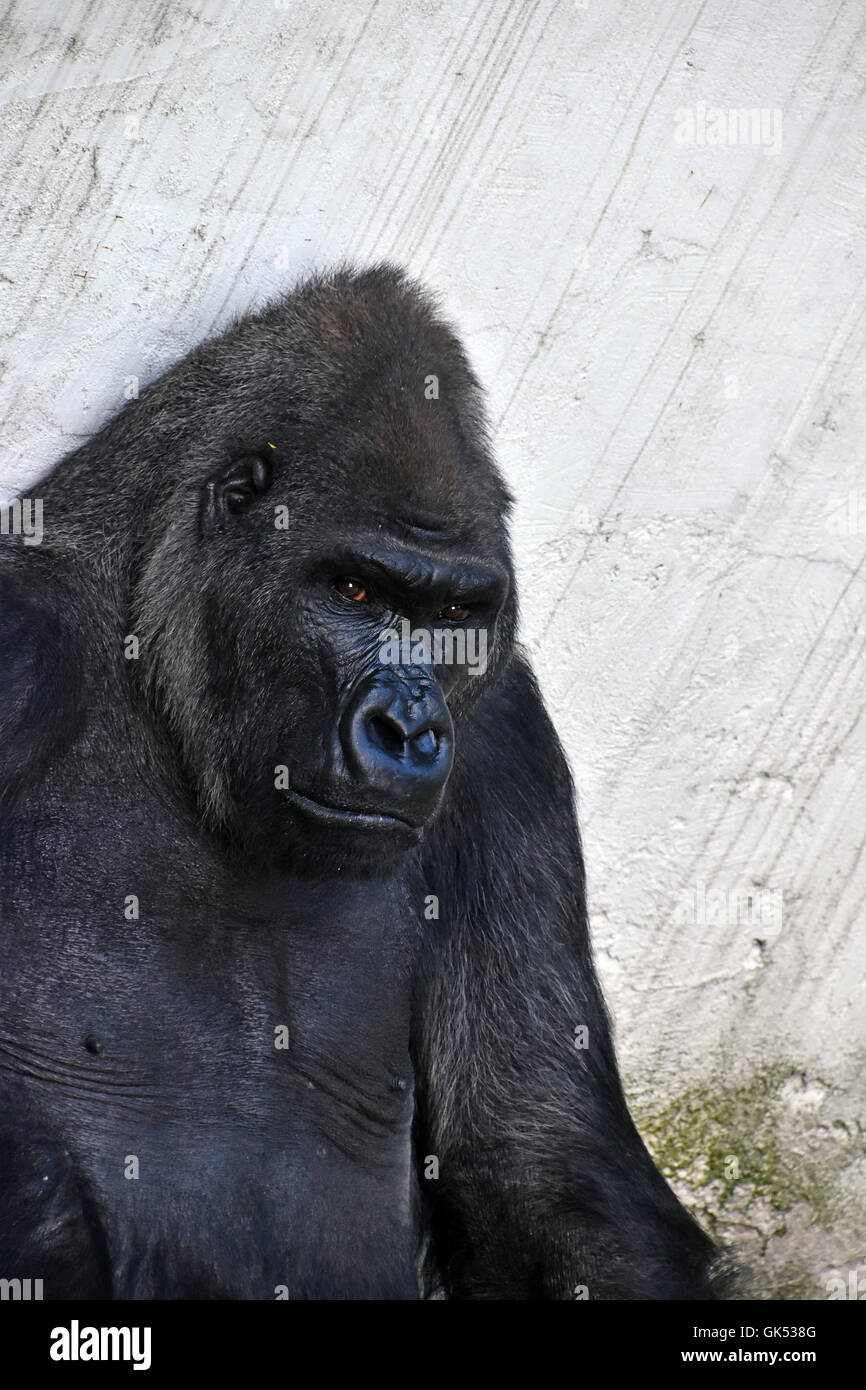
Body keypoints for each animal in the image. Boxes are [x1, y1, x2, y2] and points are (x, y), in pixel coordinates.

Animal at [0, 265, 722, 1295]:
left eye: (454, 616)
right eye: (356, 593)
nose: (410, 730)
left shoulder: (506, 743)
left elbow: (544, 1162)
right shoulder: (19, 644)